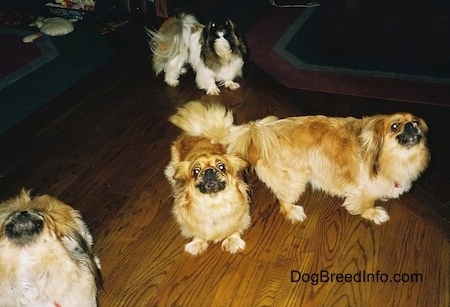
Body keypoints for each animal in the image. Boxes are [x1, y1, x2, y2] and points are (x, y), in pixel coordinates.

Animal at [165, 118, 251, 255]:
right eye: (195, 171)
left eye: (221, 166)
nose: (209, 171)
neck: (213, 203)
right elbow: (198, 233)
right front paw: (197, 244)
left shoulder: (239, 217)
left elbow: (234, 229)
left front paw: (233, 241)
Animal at [168, 102, 428, 225]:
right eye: (394, 126)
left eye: (415, 122)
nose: (411, 126)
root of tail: (257, 133)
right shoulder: (364, 192)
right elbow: (364, 206)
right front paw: (374, 213)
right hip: (295, 181)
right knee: (283, 202)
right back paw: (293, 211)